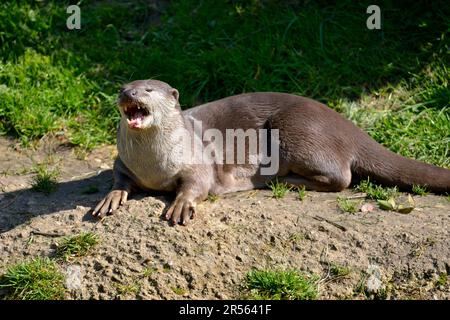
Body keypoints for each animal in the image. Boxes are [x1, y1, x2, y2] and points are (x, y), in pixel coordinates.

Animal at [92, 80, 450, 225]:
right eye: (123, 87)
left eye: (148, 89)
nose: (128, 94)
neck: (153, 165)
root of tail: (350, 127)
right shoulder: (123, 161)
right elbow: (119, 177)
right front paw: (112, 197)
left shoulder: (197, 162)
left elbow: (196, 184)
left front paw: (180, 204)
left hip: (292, 129)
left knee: (343, 177)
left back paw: (285, 181)